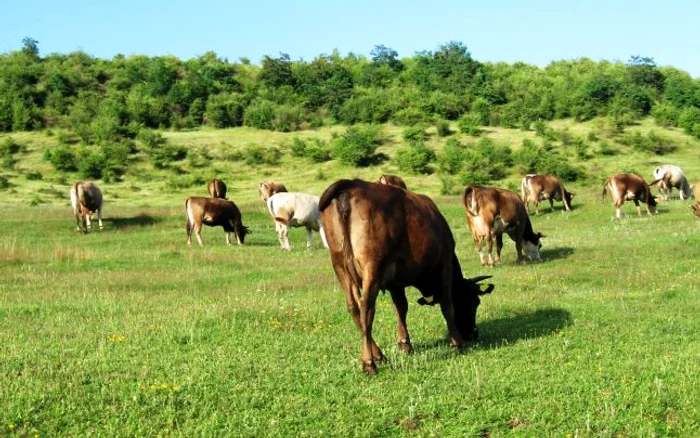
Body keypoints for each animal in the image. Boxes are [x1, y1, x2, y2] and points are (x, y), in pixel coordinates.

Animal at [320, 180, 494, 374]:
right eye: (474, 302)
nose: (473, 334)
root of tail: (351, 184)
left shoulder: (395, 281)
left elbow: (401, 308)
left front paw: (405, 344)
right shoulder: (444, 264)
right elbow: (447, 305)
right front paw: (458, 342)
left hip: (340, 266)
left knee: (354, 307)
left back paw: (379, 355)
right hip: (372, 265)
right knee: (366, 307)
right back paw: (369, 362)